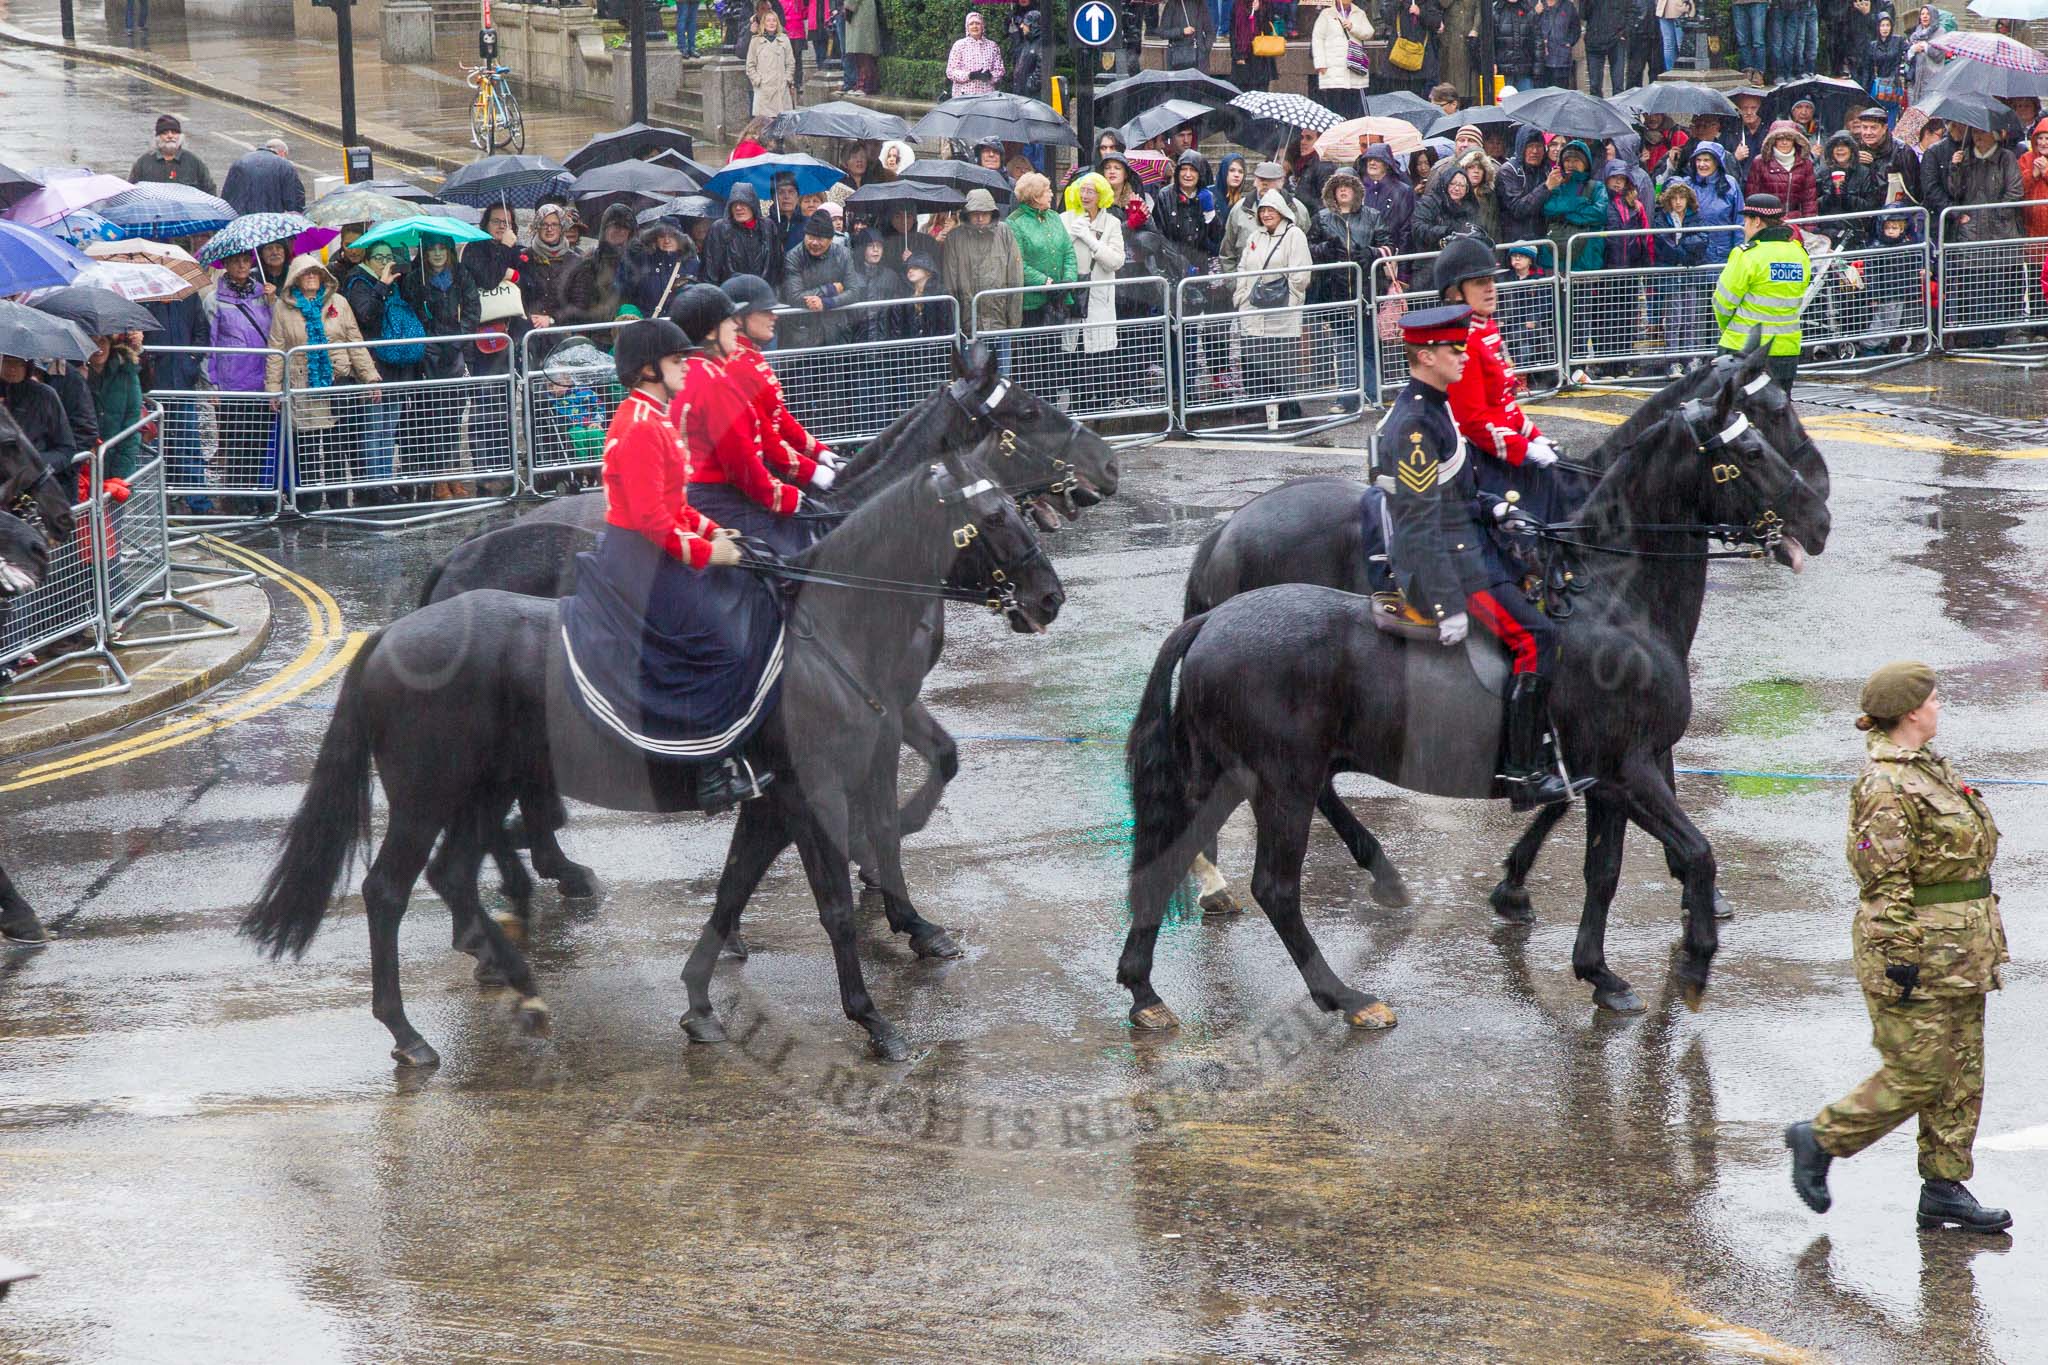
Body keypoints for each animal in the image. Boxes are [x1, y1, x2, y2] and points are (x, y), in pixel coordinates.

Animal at [245, 437, 1064, 1064]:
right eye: (992, 515)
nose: (1049, 597)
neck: (827, 630)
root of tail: (390, 634)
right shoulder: (810, 794)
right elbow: (833, 903)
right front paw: (873, 1018)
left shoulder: (778, 798)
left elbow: (735, 889)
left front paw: (701, 1000)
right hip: (427, 796)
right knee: (388, 890)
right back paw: (411, 1029)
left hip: (481, 789)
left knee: (454, 873)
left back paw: (518, 970)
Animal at [1130, 378, 1835, 1031]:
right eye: (1751, 447)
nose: (1819, 518)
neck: (1616, 603)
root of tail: (1215, 614)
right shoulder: (1627, 768)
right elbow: (1695, 852)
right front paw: (1692, 959)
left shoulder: (1613, 775)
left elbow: (1603, 869)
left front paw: (1598, 970)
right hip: (1283, 782)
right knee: (1276, 889)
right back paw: (1346, 993)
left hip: (1232, 773)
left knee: (1172, 856)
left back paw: (1145, 989)